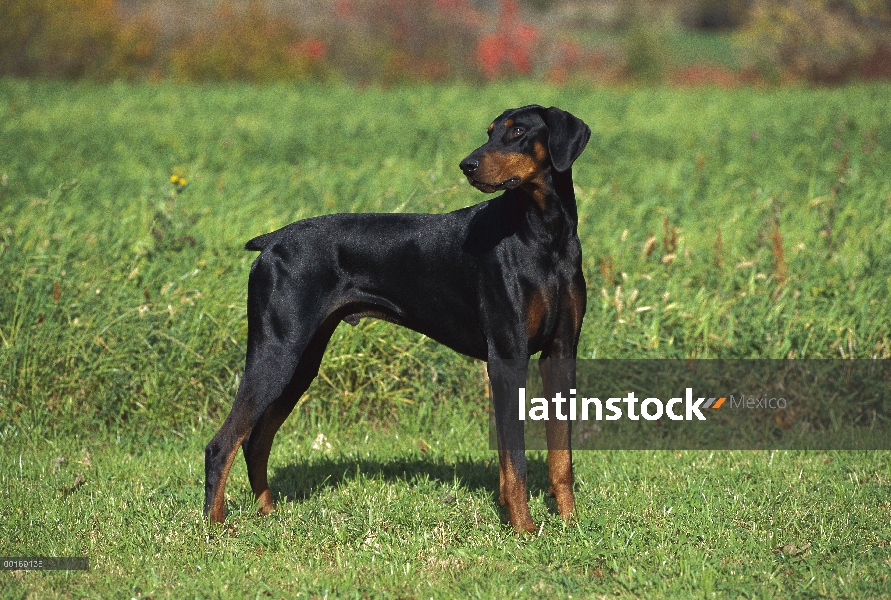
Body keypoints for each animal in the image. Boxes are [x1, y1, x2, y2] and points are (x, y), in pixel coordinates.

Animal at [205, 105, 588, 532]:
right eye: (490, 132)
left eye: (518, 130)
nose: (467, 165)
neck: (544, 235)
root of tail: (272, 241)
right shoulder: (508, 356)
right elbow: (515, 462)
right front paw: (524, 530)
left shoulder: (560, 353)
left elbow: (561, 457)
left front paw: (570, 524)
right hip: (277, 353)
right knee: (221, 445)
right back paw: (214, 527)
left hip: (300, 362)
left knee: (255, 441)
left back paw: (269, 515)